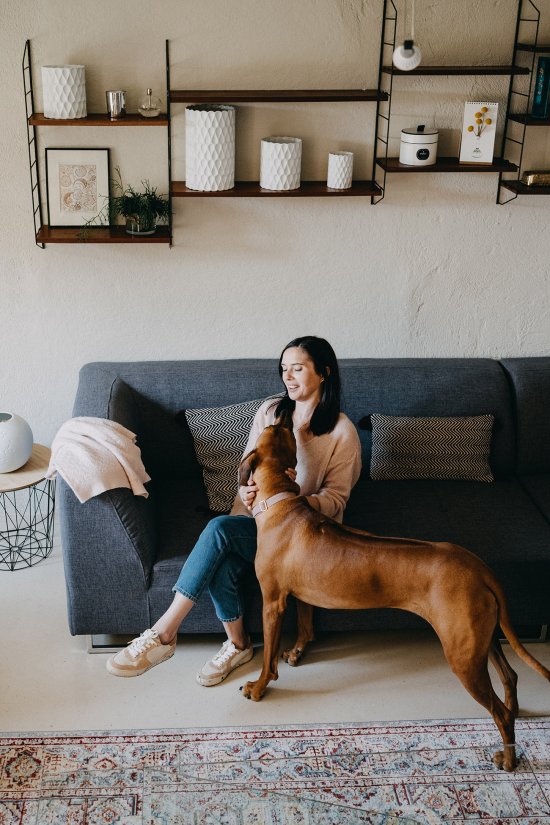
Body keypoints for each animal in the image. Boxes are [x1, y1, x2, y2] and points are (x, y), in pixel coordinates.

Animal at [242, 418, 550, 772]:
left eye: (275, 431)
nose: (282, 416)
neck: (281, 501)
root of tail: (479, 567)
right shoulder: (300, 594)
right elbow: (306, 624)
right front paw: (296, 652)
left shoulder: (272, 603)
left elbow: (267, 656)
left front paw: (259, 686)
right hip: (482, 638)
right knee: (510, 677)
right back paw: (516, 714)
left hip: (463, 655)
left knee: (499, 712)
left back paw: (509, 758)